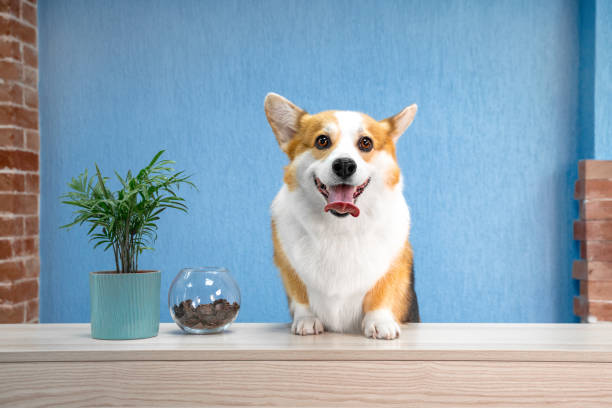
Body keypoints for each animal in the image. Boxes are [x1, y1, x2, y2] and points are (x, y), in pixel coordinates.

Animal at [266, 94, 418, 340]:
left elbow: (382, 292)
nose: (345, 165)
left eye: (366, 143)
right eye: (322, 141)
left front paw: (380, 322)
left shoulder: (395, 263)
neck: (340, 226)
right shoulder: (288, 266)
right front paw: (307, 320)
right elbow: (301, 295)